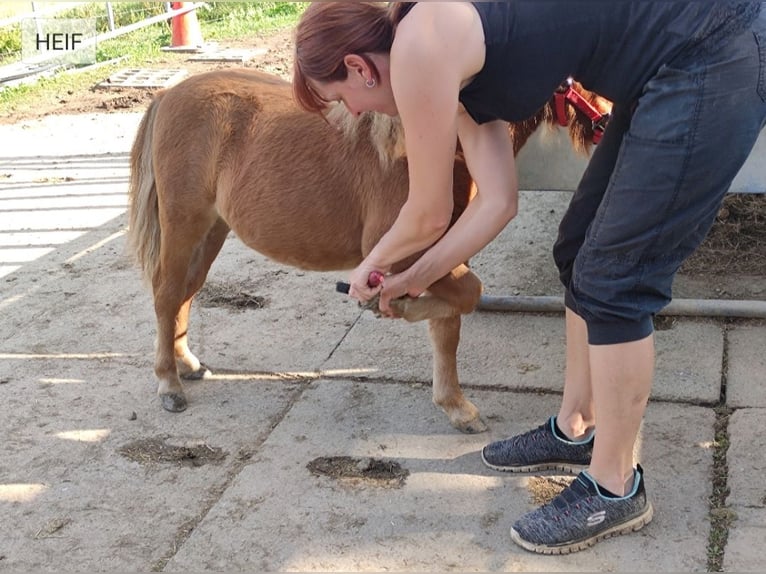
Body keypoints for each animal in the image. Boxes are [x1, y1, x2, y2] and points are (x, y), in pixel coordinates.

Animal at [129, 67, 616, 434]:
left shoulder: (444, 251)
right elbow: (466, 297)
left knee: (186, 293)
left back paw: (187, 363)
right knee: (167, 294)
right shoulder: (406, 252)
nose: (612, 125)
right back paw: (169, 385)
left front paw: (456, 405)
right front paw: (394, 305)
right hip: (185, 223)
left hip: (212, 229)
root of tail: (167, 96)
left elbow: (451, 324)